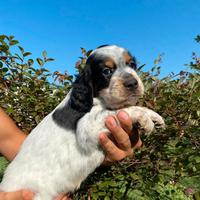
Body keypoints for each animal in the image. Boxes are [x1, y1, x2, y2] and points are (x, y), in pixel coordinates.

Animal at [0, 44, 165, 199]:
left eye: (131, 64)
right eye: (107, 71)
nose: (132, 83)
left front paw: (155, 116)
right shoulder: (86, 128)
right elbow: (119, 111)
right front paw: (144, 118)